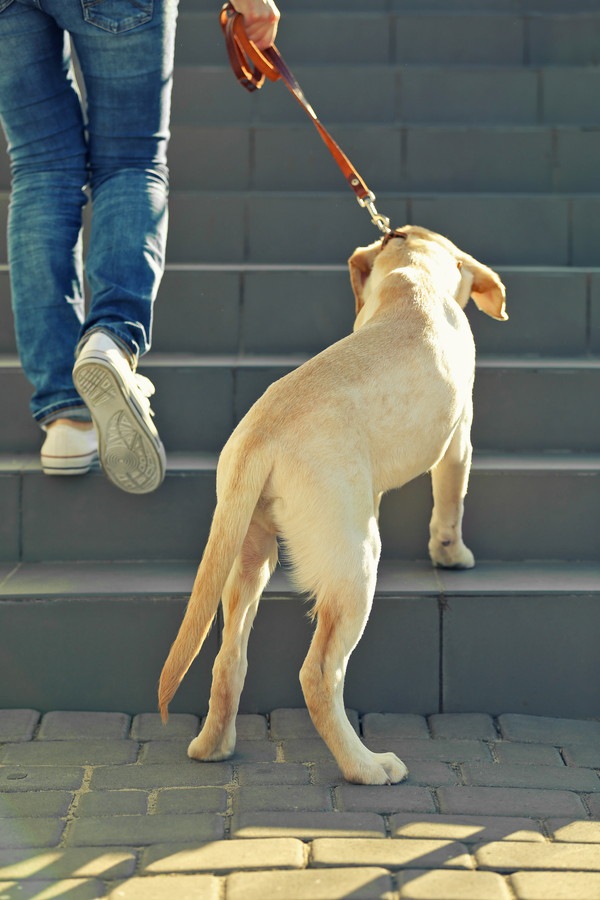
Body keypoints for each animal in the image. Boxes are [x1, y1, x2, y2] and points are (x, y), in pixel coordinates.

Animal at [159, 229, 506, 784]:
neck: (412, 274)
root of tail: (261, 433)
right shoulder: (459, 438)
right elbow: (450, 504)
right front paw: (452, 555)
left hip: (250, 556)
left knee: (228, 659)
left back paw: (213, 746)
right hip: (356, 564)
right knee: (319, 673)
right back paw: (365, 765)